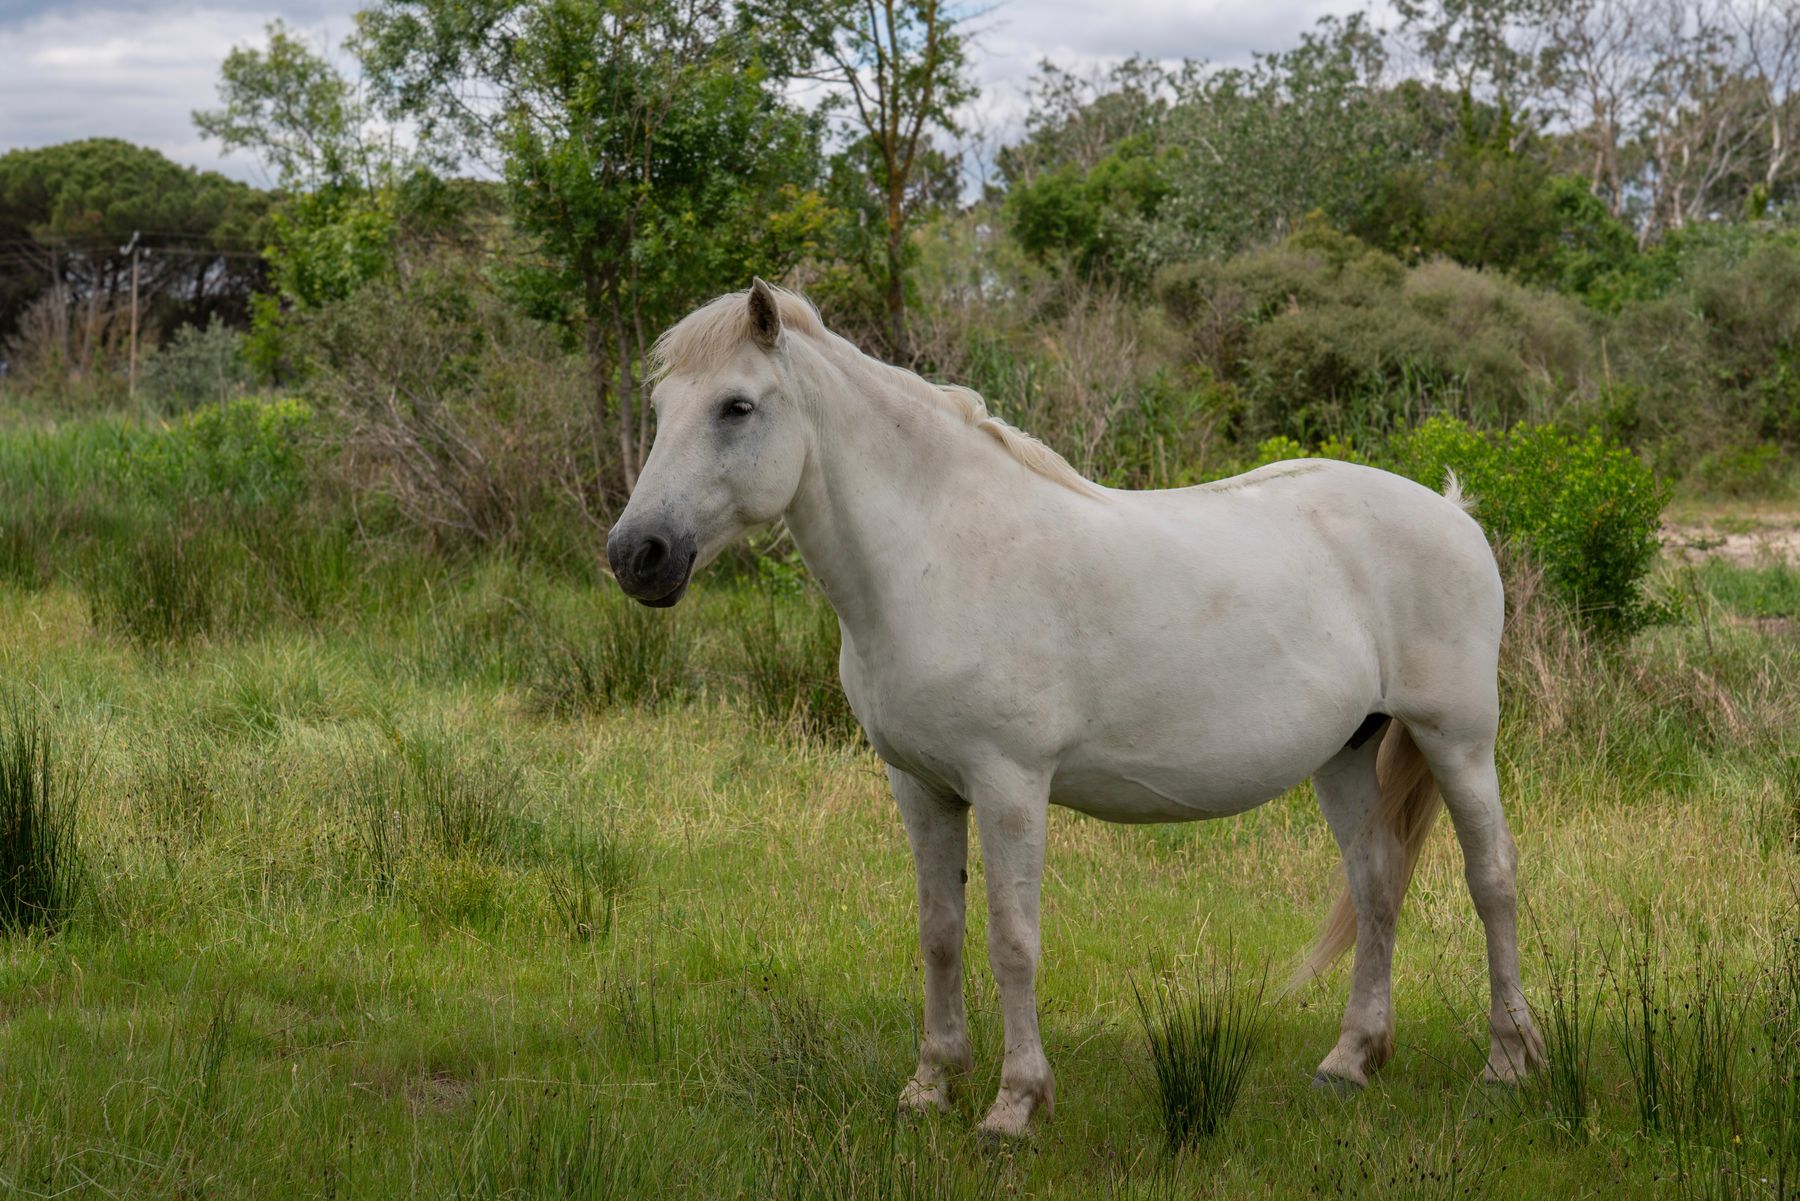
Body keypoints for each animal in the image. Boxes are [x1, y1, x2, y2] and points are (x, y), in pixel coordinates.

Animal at [606, 280, 1546, 1138]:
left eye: (736, 407)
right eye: (660, 406)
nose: (636, 553)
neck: (938, 553)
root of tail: (1453, 511)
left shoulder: (1010, 785)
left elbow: (1012, 938)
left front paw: (1014, 1106)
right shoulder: (920, 786)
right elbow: (940, 930)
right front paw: (930, 1087)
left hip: (1458, 739)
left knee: (1493, 879)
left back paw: (1508, 1061)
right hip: (1347, 752)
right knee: (1377, 881)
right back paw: (1350, 1061)